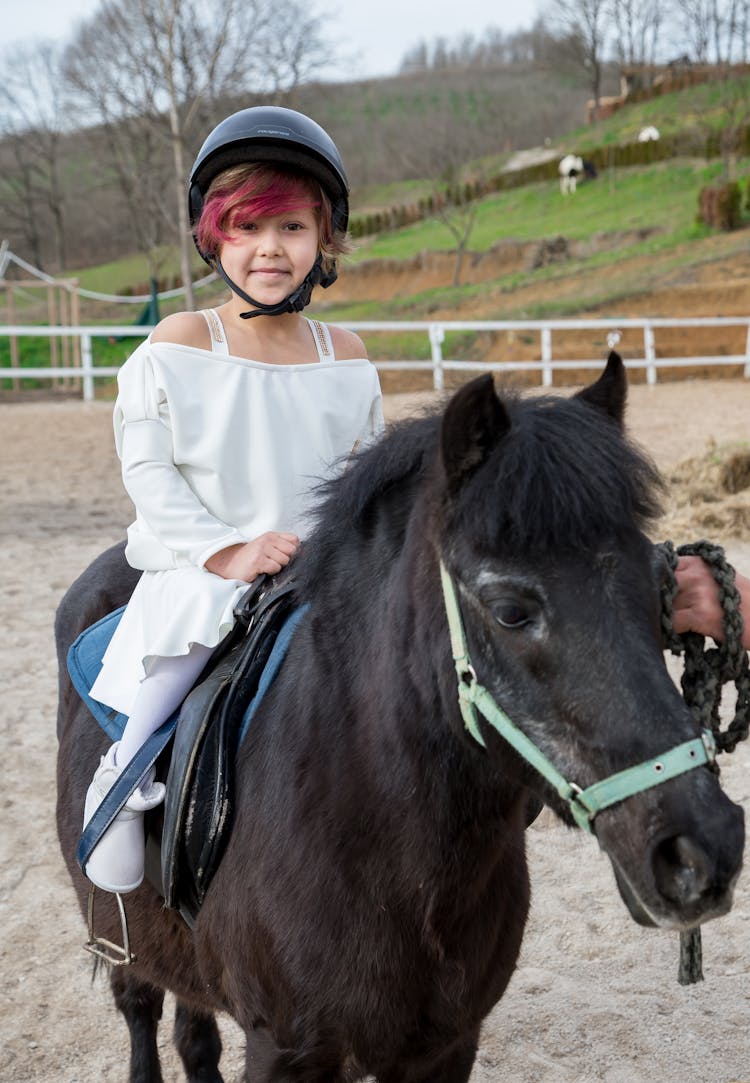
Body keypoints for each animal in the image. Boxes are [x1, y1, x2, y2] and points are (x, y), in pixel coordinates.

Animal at [57, 359, 744, 1083]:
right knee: (140, 1008)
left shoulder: (445, 1044)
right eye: (510, 611)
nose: (704, 848)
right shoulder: (285, 1049)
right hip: (122, 936)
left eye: (665, 585)